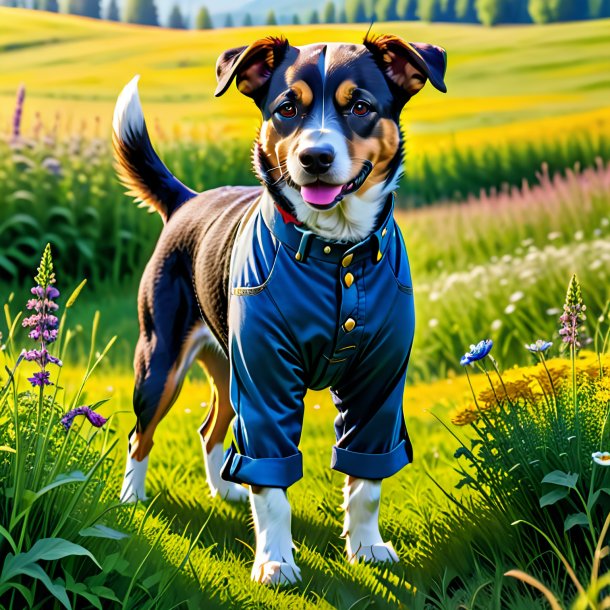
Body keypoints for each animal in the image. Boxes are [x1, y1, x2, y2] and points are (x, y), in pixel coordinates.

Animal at [114, 34, 444, 584]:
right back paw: (130, 499)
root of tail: (186, 200)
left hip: (229, 367)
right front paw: (275, 560)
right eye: (287, 108)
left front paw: (366, 546)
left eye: (360, 107)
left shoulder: (378, 383)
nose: (315, 156)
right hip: (160, 363)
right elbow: (271, 487)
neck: (336, 250)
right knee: (141, 436)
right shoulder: (265, 379)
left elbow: (366, 480)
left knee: (212, 429)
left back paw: (224, 489)